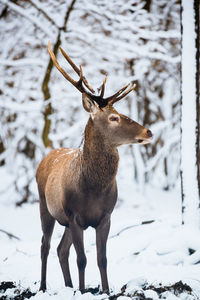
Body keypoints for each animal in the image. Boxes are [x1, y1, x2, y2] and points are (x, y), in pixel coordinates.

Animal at [36, 41, 152, 294]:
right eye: (114, 118)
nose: (148, 131)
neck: (92, 189)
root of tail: (46, 156)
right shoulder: (74, 215)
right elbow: (82, 259)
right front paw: (82, 291)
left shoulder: (106, 216)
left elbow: (102, 259)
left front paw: (105, 291)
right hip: (45, 206)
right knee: (45, 245)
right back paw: (43, 287)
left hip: (64, 220)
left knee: (61, 249)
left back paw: (68, 286)